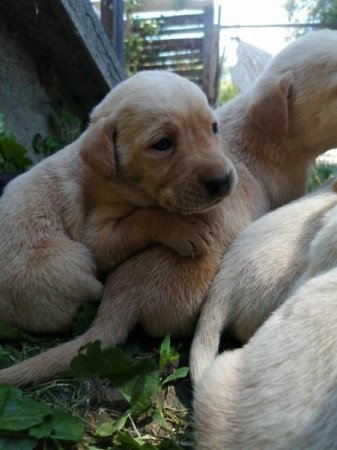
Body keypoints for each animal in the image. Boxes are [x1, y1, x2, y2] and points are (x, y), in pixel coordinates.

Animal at [0, 70, 235, 334]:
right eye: (162, 144)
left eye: (214, 127)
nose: (222, 181)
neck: (122, 180)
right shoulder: (95, 234)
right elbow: (142, 219)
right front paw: (185, 230)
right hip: (68, 261)